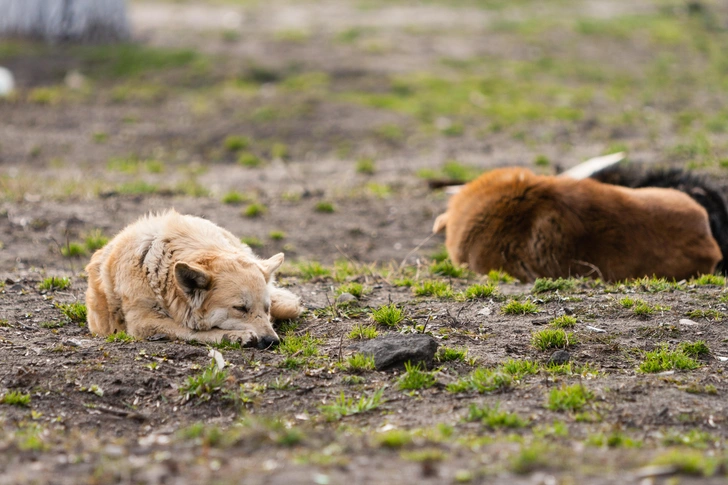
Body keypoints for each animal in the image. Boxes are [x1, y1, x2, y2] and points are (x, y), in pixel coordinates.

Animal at [85, 211, 302, 348]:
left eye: (266, 309)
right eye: (240, 309)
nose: (273, 341)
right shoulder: (143, 322)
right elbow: (191, 331)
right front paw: (234, 336)